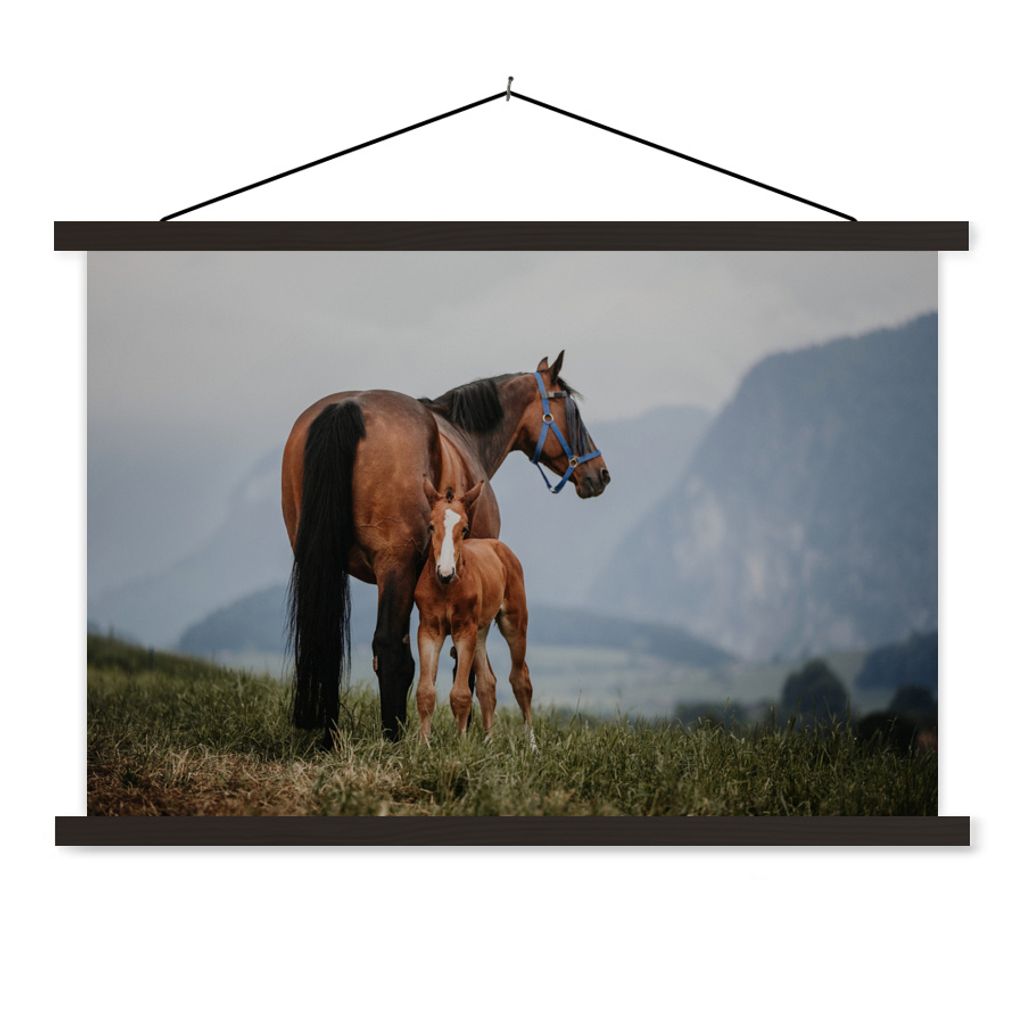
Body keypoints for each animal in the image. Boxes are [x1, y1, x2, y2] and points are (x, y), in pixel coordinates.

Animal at [414, 478, 536, 748]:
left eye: (465, 529)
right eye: (431, 526)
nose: (445, 572)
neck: (445, 589)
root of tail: (499, 547)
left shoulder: (463, 630)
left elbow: (460, 693)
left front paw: (461, 746)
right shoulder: (429, 630)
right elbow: (425, 691)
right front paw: (423, 745)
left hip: (513, 623)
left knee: (520, 679)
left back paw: (533, 746)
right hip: (480, 631)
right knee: (487, 683)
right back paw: (488, 742)